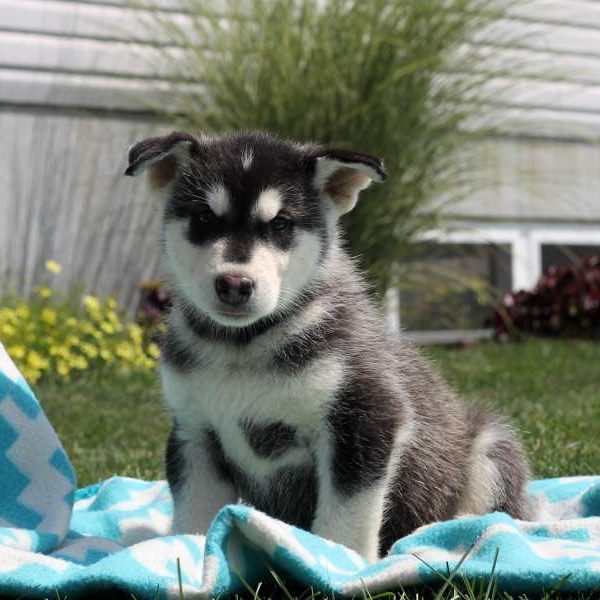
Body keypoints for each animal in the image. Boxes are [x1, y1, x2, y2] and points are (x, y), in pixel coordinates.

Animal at [124, 131, 528, 564]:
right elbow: (195, 514)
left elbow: (345, 520)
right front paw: (187, 552)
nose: (234, 283)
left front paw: (338, 563)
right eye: (202, 218)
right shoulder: (195, 432)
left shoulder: (365, 418)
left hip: (490, 448)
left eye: (281, 223)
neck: (243, 346)